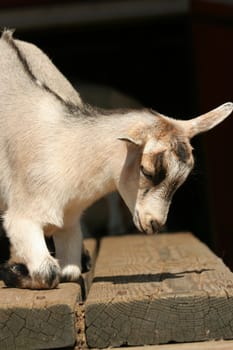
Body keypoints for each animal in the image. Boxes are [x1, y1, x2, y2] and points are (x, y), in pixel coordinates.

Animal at [0, 30, 231, 288]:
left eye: (183, 178)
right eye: (147, 170)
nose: (155, 224)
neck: (62, 147)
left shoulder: (69, 222)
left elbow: (70, 273)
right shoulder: (22, 217)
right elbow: (48, 273)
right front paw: (11, 270)